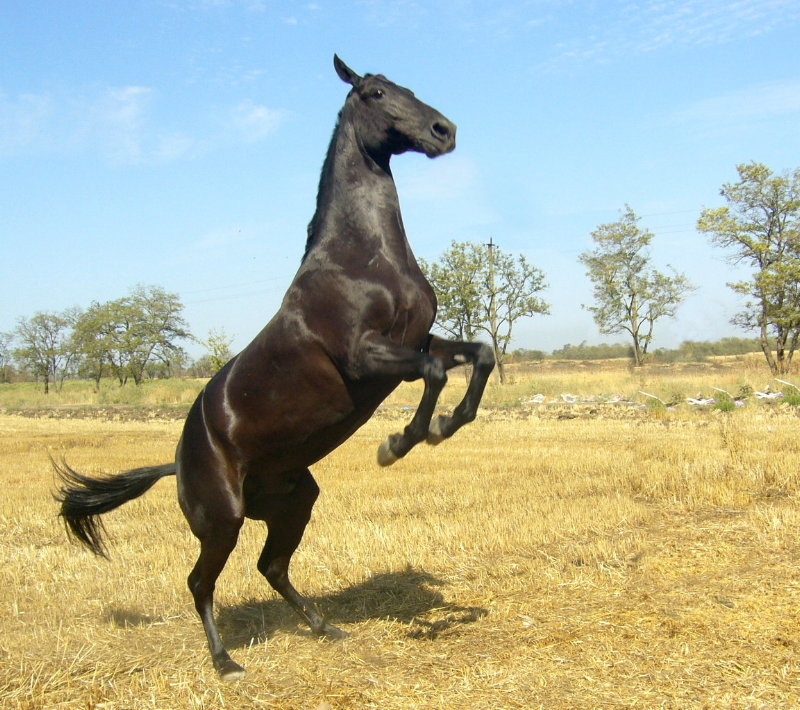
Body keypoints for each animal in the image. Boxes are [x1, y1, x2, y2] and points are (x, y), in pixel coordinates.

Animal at [56, 57, 494, 684]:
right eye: (375, 92)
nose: (443, 131)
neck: (361, 258)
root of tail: (178, 463)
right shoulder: (367, 355)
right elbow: (434, 372)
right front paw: (399, 442)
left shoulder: (417, 339)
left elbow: (479, 354)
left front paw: (441, 427)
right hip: (224, 518)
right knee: (200, 582)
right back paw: (225, 662)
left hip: (295, 500)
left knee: (272, 566)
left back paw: (323, 626)